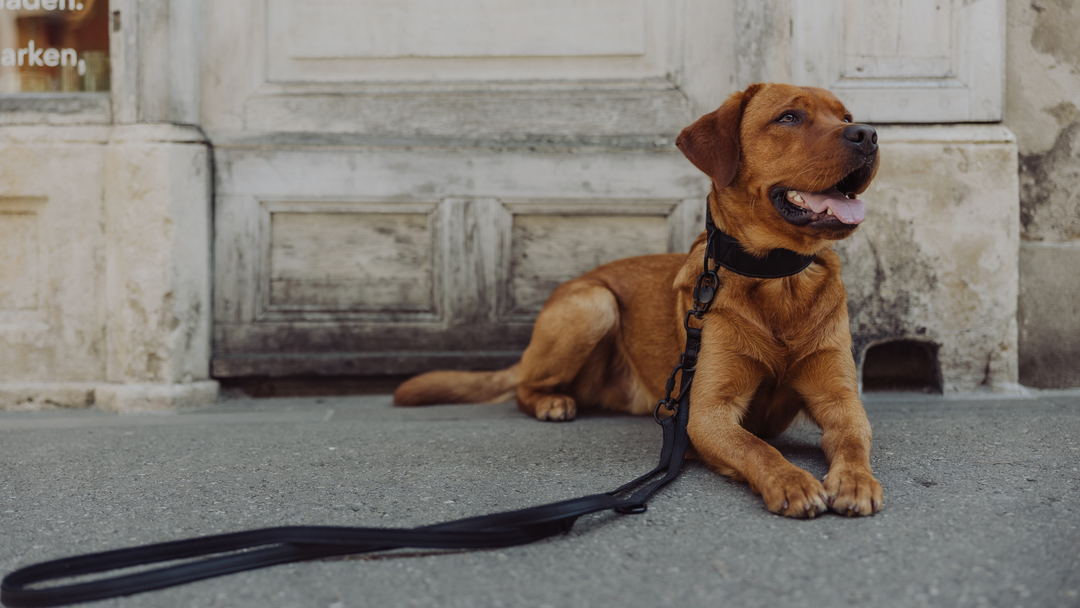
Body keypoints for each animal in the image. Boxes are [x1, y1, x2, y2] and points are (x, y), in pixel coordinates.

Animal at [397, 82, 885, 518]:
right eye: (789, 117)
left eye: (845, 116)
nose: (867, 133)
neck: (778, 280)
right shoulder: (707, 414)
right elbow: (757, 447)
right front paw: (791, 480)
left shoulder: (840, 399)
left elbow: (853, 438)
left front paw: (855, 480)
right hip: (594, 304)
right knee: (523, 387)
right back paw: (551, 401)